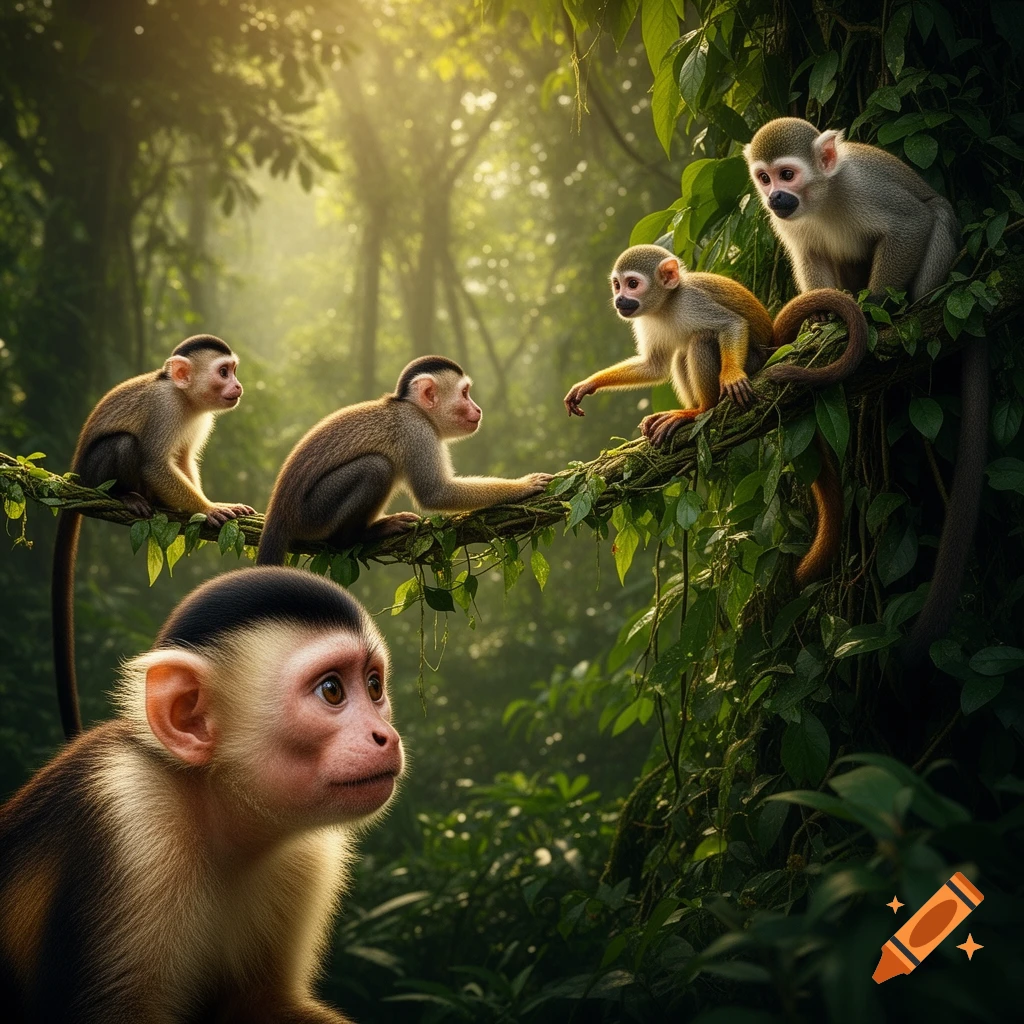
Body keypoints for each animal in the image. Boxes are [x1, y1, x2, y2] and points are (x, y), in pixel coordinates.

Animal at [1, 567, 402, 1023]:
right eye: (332, 690)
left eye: (374, 687)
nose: (386, 735)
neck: (213, 810)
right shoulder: (132, 814)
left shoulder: (308, 858)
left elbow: (263, 1001)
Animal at [52, 335, 255, 740]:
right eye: (224, 372)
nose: (238, 386)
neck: (185, 398)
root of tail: (75, 477)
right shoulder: (166, 408)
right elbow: (156, 464)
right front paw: (209, 508)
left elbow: (184, 459)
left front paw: (210, 504)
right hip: (94, 473)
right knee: (124, 444)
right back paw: (126, 495)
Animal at [257, 355, 553, 566]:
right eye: (465, 393)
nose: (478, 409)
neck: (414, 408)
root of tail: (278, 512)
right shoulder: (417, 431)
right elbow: (436, 493)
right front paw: (522, 486)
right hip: (312, 514)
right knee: (376, 467)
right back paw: (354, 538)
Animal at [563, 244, 868, 586]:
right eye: (617, 285)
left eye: (632, 284)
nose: (619, 300)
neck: (665, 305)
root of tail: (774, 343)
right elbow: (654, 366)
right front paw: (589, 384)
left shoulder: (692, 301)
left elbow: (730, 326)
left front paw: (731, 376)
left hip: (755, 360)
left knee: (700, 339)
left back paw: (700, 411)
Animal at [743, 118, 969, 660]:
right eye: (764, 178)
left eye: (787, 174)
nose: (775, 197)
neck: (822, 196)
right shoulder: (790, 224)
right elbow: (808, 253)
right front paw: (823, 318)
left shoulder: (863, 188)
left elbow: (911, 224)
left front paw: (876, 305)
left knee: (936, 212)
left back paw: (911, 307)